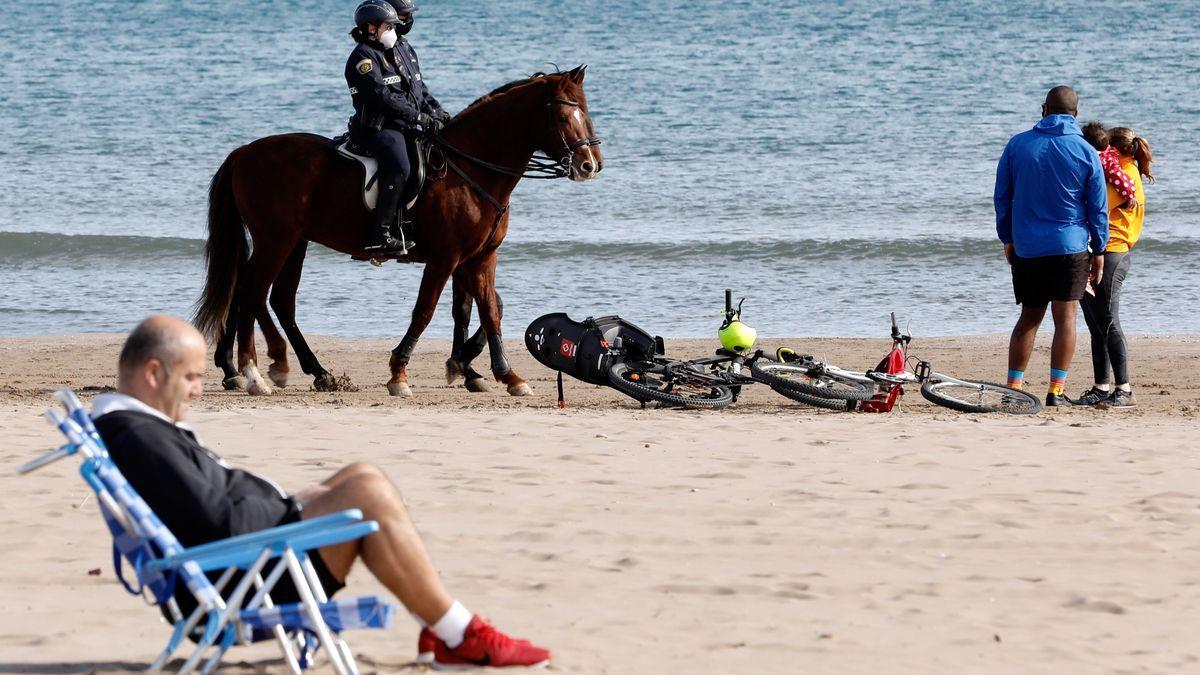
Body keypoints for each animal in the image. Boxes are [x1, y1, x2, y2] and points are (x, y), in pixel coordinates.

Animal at [194, 64, 600, 393]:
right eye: (563, 116)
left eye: (586, 111)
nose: (589, 164)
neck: (470, 170)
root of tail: (243, 153)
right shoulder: (446, 257)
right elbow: (426, 311)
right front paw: (400, 372)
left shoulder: (480, 257)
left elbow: (487, 309)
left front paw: (503, 375)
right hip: (276, 239)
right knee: (251, 292)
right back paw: (255, 372)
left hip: (294, 242)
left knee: (274, 298)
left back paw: (303, 370)